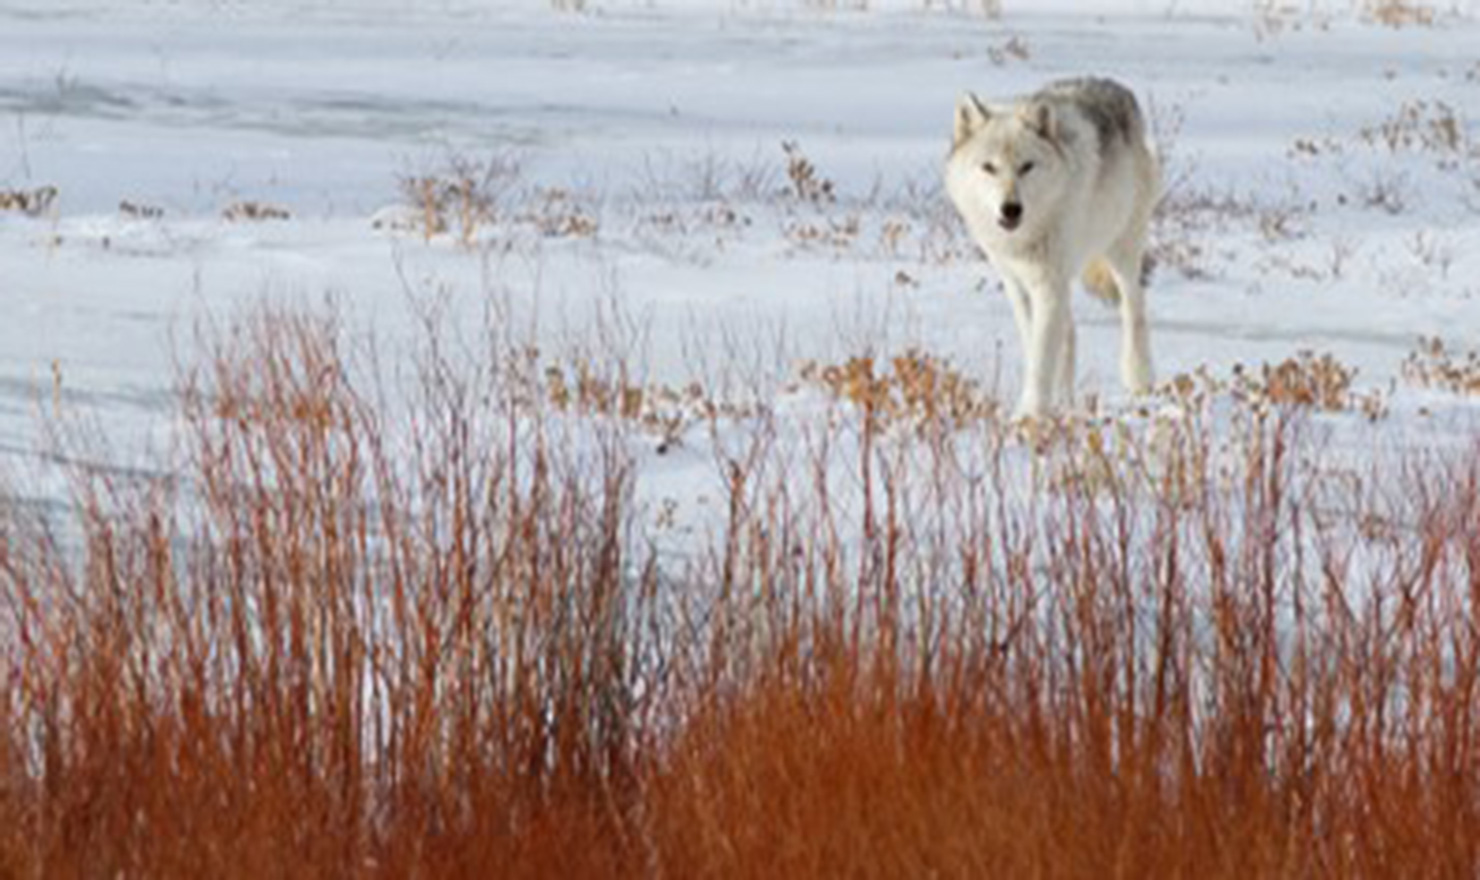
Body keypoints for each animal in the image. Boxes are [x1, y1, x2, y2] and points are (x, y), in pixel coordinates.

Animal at [944, 77, 1161, 419]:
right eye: (989, 167)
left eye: (1026, 167)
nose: (1011, 209)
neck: (1026, 236)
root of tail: (1119, 88)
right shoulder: (1017, 283)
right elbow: (1036, 342)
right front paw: (1045, 407)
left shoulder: (1048, 283)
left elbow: (1042, 354)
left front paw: (1029, 415)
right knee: (1070, 332)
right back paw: (1066, 399)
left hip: (1121, 251)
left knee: (1133, 308)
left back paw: (1139, 379)